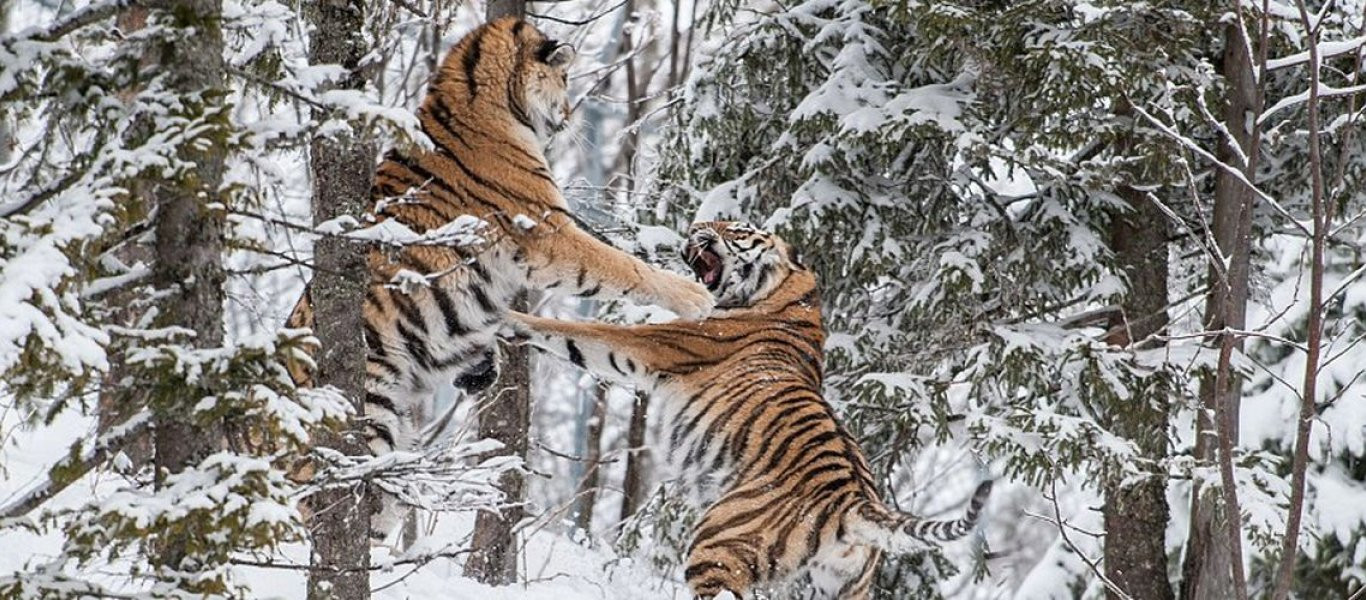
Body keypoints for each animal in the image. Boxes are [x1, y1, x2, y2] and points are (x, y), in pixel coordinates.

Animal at [513, 222, 994, 598]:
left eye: (735, 229)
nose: (695, 227)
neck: (790, 292)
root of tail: (855, 502)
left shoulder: (658, 344)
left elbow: (578, 331)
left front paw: (511, 319)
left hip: (717, 544)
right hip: (843, 585)